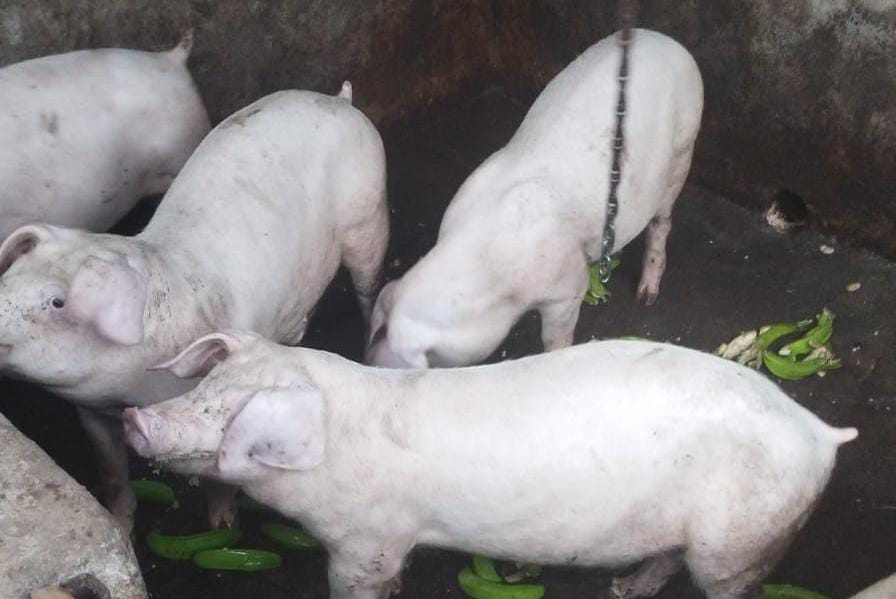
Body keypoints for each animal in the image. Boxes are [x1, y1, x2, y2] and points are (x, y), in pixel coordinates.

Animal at [0, 85, 388, 531]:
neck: (126, 385)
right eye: (8, 279)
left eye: (56, 301)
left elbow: (217, 482)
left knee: (368, 288)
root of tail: (339, 101)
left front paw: (222, 527)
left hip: (369, 216)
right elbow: (111, 469)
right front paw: (119, 523)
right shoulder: (92, 412)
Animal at [125, 330, 856, 599]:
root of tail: (821, 433)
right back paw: (623, 589)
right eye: (205, 385)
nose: (135, 416)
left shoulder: (368, 540)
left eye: (233, 413)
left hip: (741, 541)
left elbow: (358, 583)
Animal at [366, 29, 704, 368]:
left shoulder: (568, 288)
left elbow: (556, 337)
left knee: (661, 223)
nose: (366, 358)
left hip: (683, 146)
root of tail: (667, 41)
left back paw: (646, 296)